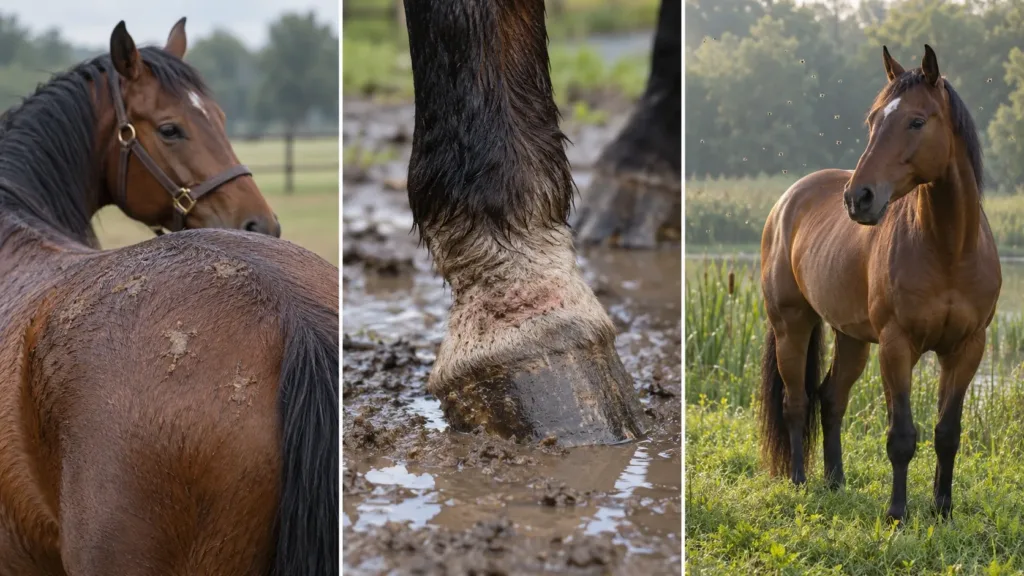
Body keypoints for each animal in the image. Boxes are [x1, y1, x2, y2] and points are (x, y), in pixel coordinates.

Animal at [759, 44, 1000, 523]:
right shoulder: (896, 345)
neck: (949, 249)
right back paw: (798, 481)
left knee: (830, 398)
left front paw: (942, 509)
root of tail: (787, 201)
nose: (859, 198)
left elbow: (948, 431)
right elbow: (901, 435)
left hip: (851, 338)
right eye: (872, 121)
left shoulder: (967, 347)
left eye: (917, 121)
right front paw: (897, 513)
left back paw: (835, 481)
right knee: (796, 404)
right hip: (792, 326)